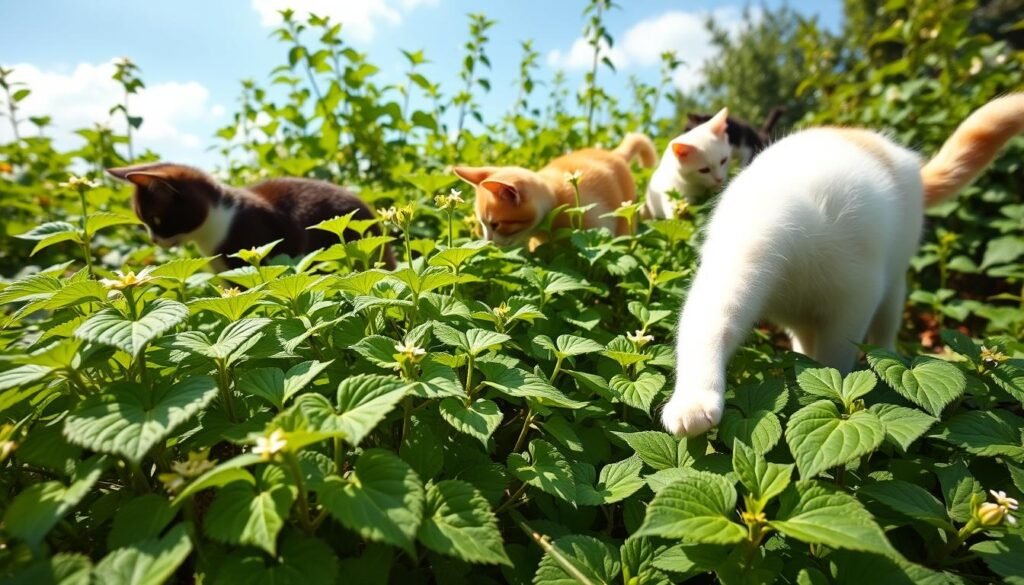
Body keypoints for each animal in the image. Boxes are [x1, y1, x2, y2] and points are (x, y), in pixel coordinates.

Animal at [454, 134, 655, 245]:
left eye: (495, 225)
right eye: (482, 224)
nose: (488, 242)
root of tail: (614, 154)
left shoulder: (596, 228)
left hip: (625, 217)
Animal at [663, 94, 1024, 434]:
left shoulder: (854, 301)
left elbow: (835, 358)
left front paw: (832, 392)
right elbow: (705, 328)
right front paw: (692, 401)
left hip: (892, 284)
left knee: (885, 330)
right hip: (801, 313)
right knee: (804, 337)